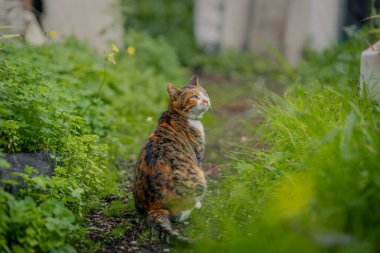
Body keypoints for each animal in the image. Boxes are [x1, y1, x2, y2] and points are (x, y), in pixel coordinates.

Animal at [134, 75, 211, 243]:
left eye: (205, 93)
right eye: (194, 97)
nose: (206, 100)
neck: (175, 115)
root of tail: (154, 208)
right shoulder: (198, 157)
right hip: (198, 177)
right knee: (179, 215)